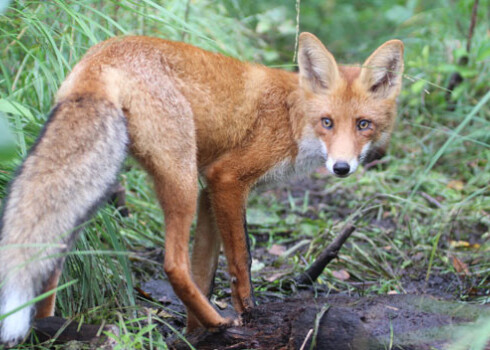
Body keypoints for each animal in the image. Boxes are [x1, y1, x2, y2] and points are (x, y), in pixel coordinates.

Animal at [0, 32, 402, 344]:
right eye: (327, 122)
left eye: (363, 124)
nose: (341, 167)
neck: (291, 116)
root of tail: (99, 55)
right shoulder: (226, 179)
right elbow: (240, 262)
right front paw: (246, 318)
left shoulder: (211, 190)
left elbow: (205, 269)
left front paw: (194, 335)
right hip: (180, 180)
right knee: (173, 265)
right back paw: (218, 322)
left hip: (97, 185)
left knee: (52, 261)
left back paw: (50, 328)